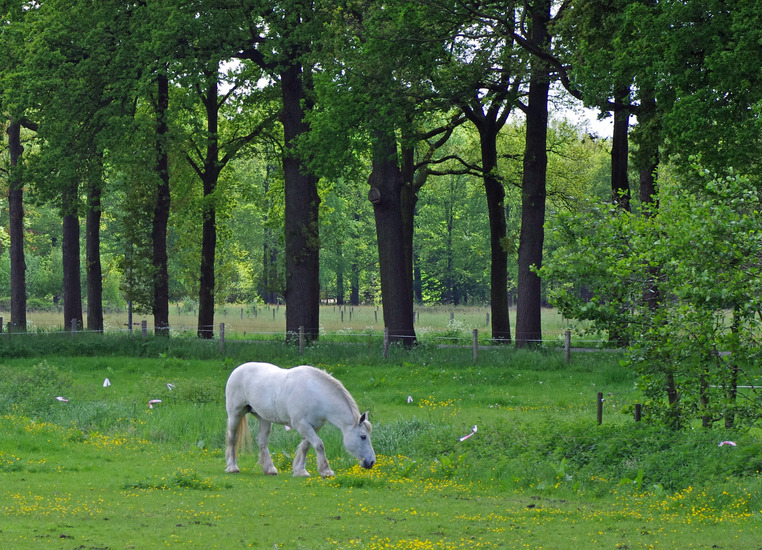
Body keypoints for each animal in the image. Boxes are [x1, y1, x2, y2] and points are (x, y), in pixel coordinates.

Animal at [224, 362, 375, 477]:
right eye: (363, 436)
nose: (371, 462)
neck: (316, 394)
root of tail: (237, 370)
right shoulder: (301, 424)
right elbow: (319, 445)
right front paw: (326, 471)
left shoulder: (314, 426)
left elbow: (306, 446)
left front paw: (300, 470)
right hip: (235, 414)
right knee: (232, 438)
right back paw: (232, 467)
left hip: (264, 418)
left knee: (262, 442)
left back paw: (270, 469)